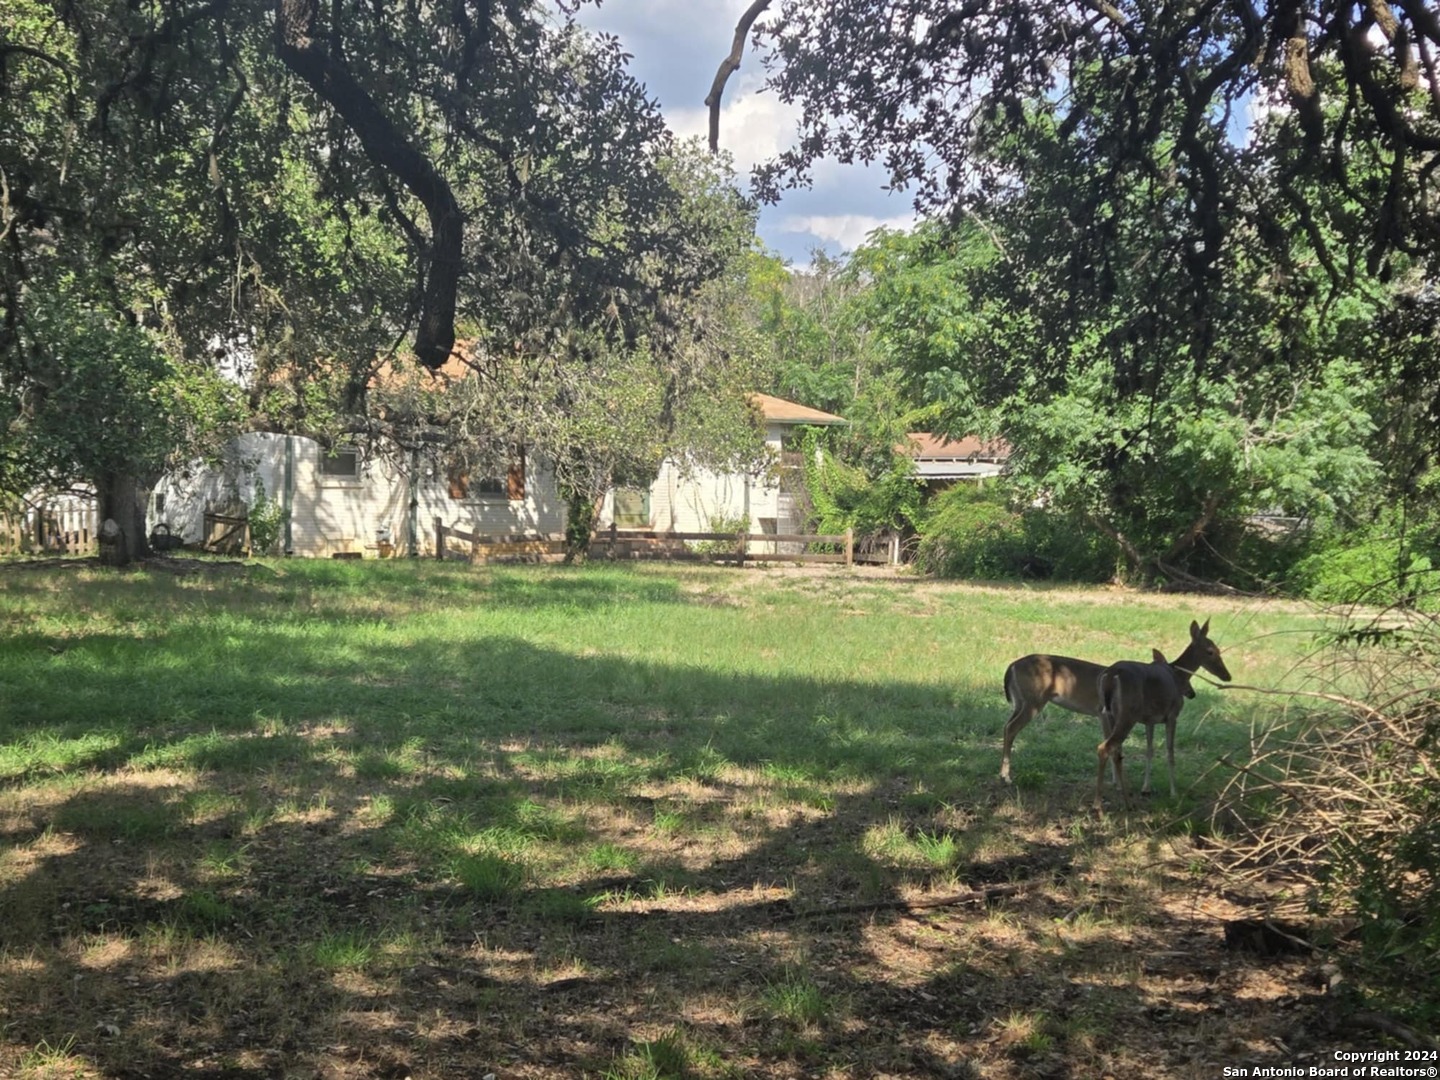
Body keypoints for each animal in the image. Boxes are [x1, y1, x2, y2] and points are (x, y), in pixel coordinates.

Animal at [1094, 616, 1232, 812]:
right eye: (1211, 651)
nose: (1227, 676)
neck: (1178, 675)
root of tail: (1110, 675)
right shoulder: (1172, 715)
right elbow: (1170, 752)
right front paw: (1174, 793)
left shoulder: (1149, 720)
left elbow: (1149, 750)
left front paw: (1146, 788)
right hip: (1128, 714)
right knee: (1105, 747)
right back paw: (1098, 804)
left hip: (1106, 714)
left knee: (1116, 751)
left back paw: (1127, 800)